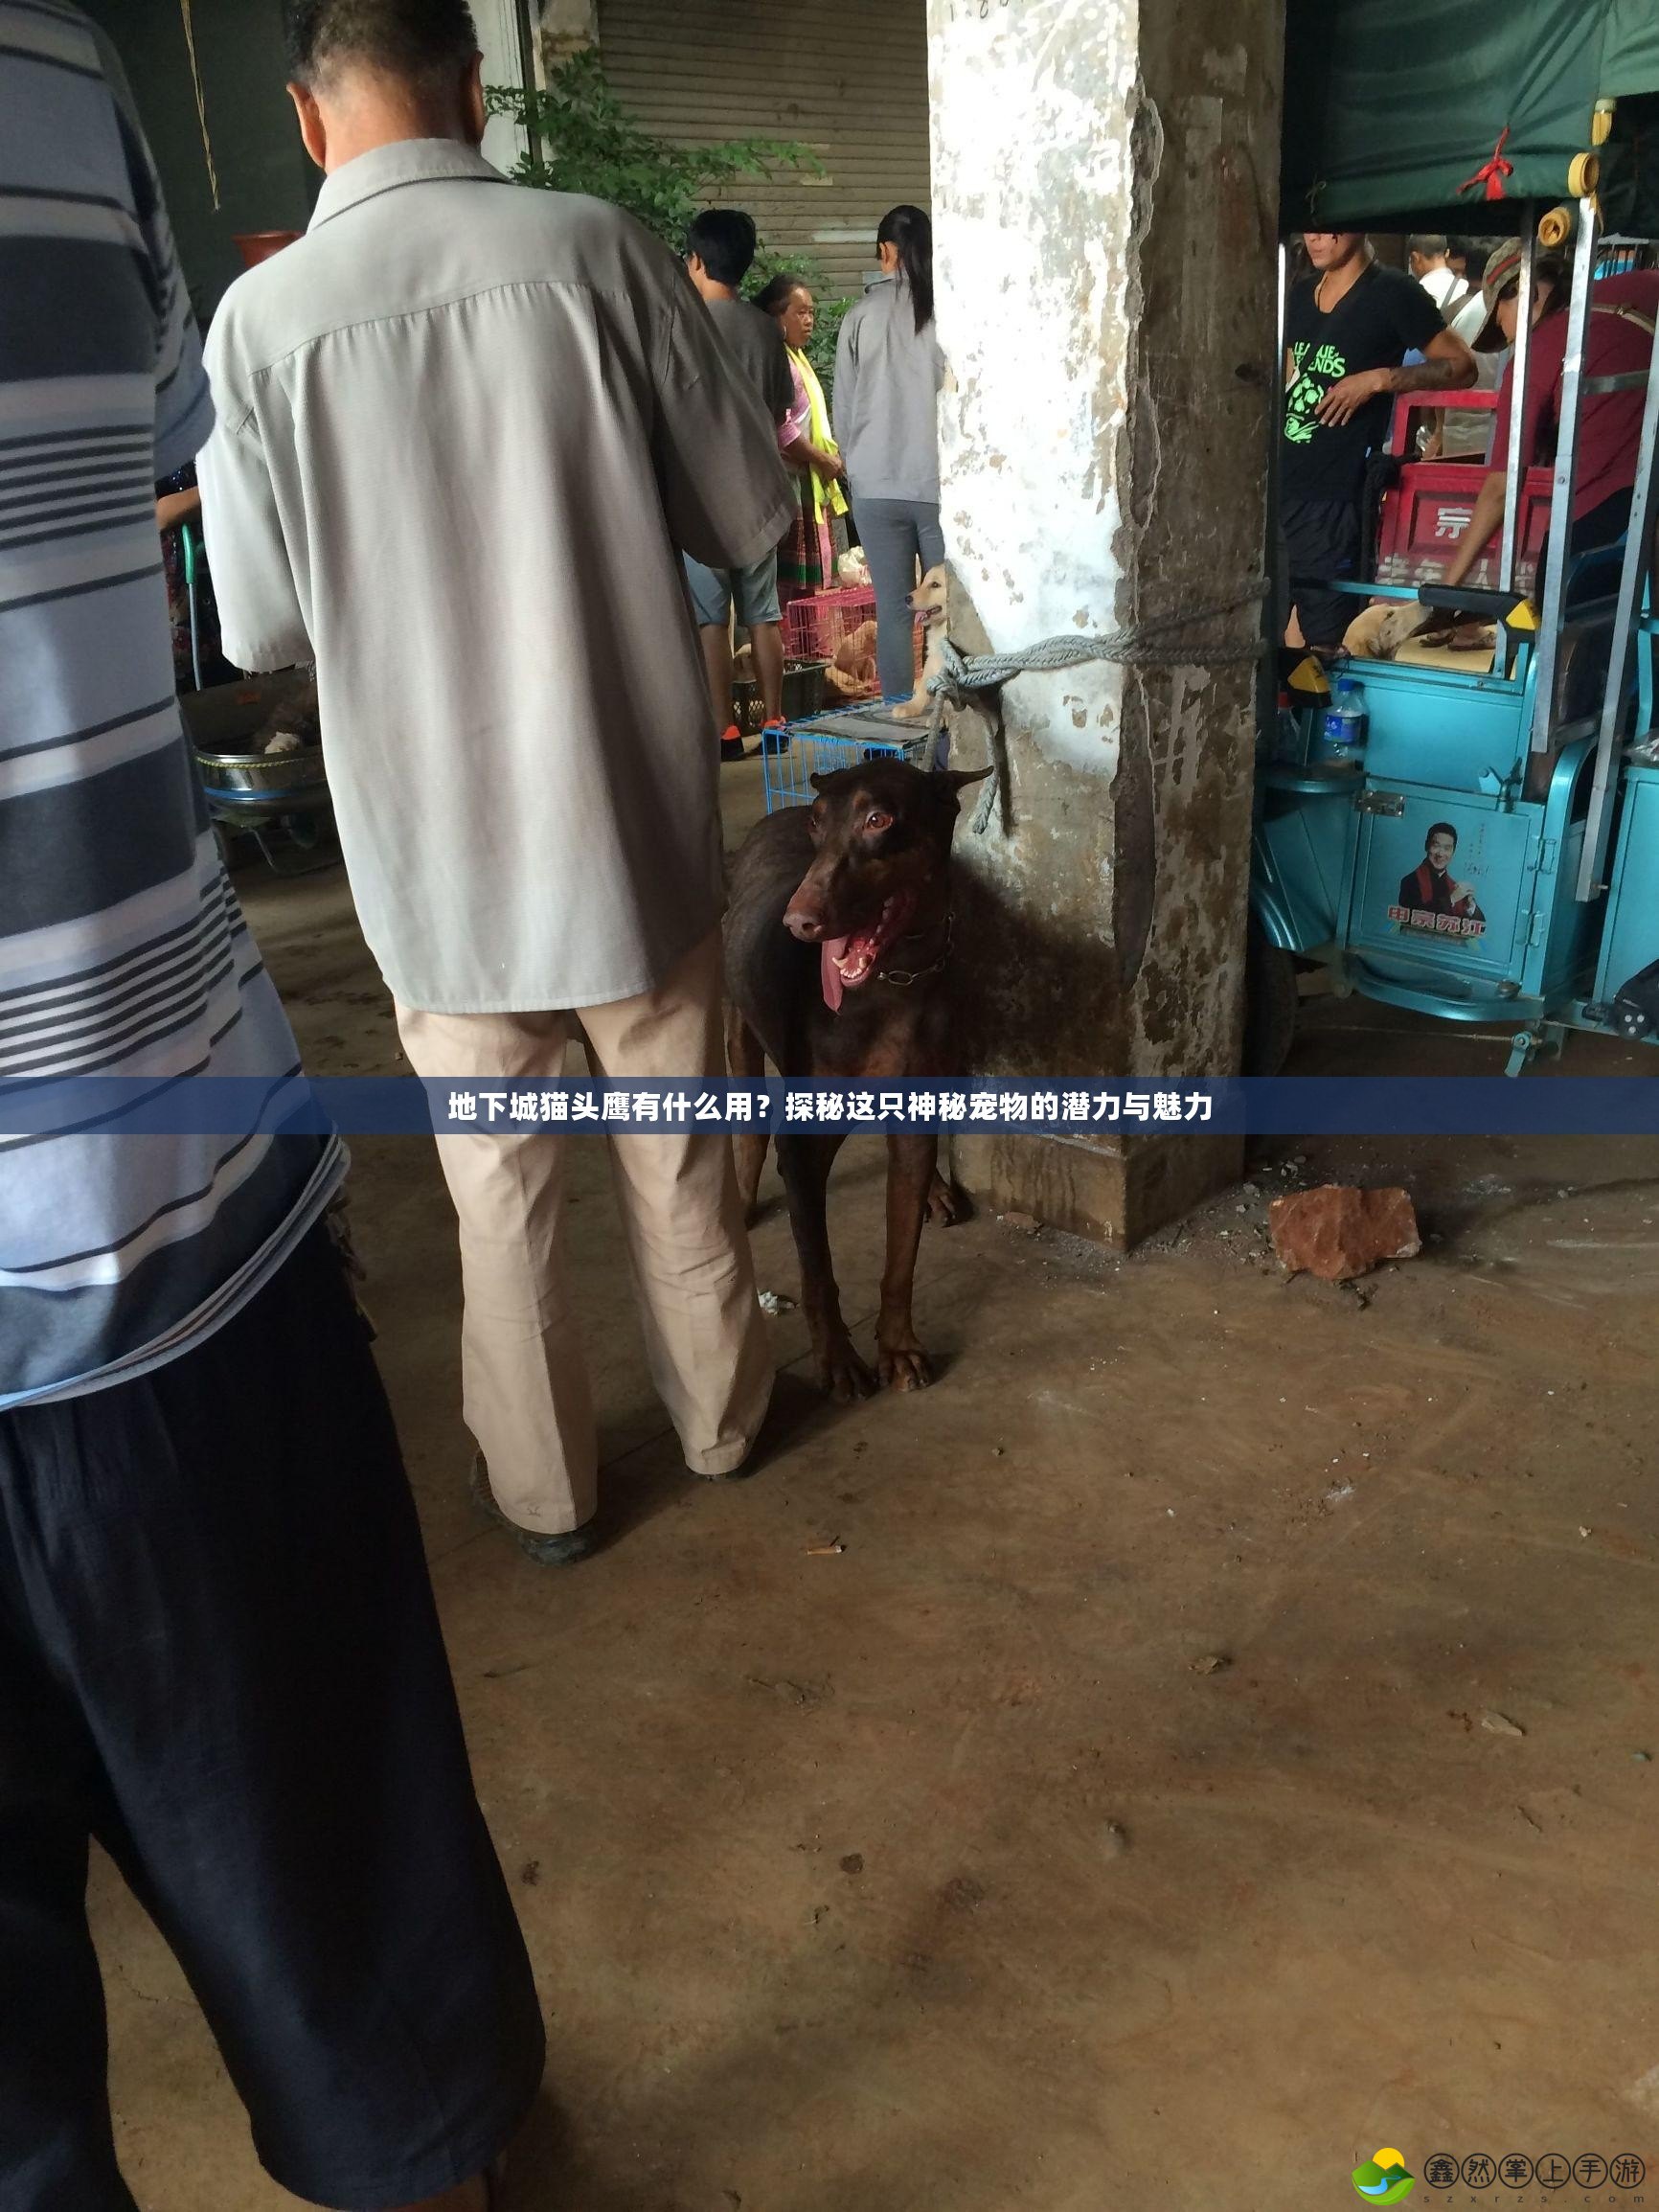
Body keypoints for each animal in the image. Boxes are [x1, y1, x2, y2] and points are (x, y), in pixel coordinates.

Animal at [725, 761, 986, 1398]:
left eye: (879, 819)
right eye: (819, 823)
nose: (800, 921)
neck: (894, 983)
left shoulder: (914, 1116)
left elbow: (901, 1259)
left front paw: (898, 1347)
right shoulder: (802, 1150)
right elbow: (817, 1270)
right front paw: (838, 1359)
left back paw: (937, 1189)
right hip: (736, 1024)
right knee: (748, 1128)